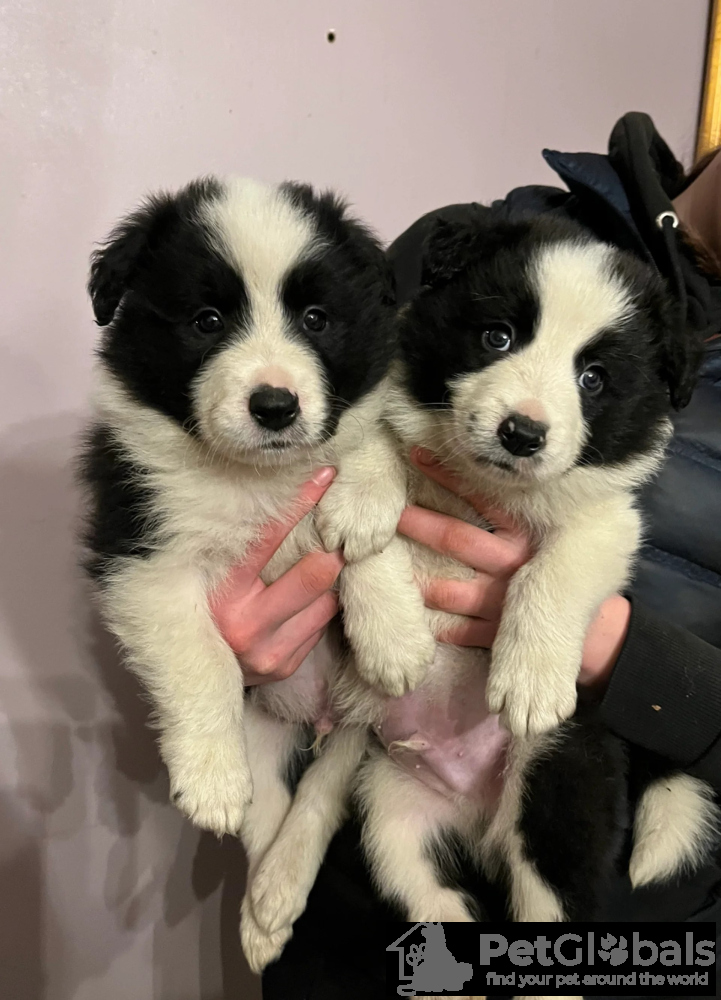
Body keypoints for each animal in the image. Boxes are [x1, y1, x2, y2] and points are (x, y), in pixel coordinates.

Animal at [78, 176, 439, 967]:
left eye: (316, 318)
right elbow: (201, 657)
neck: (255, 477)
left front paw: (394, 633)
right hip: (263, 722)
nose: (275, 406)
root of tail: (318, 718)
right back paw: (264, 904)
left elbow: (364, 491)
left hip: (360, 726)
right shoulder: (141, 551)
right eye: (207, 320)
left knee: (322, 794)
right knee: (270, 810)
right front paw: (210, 778)